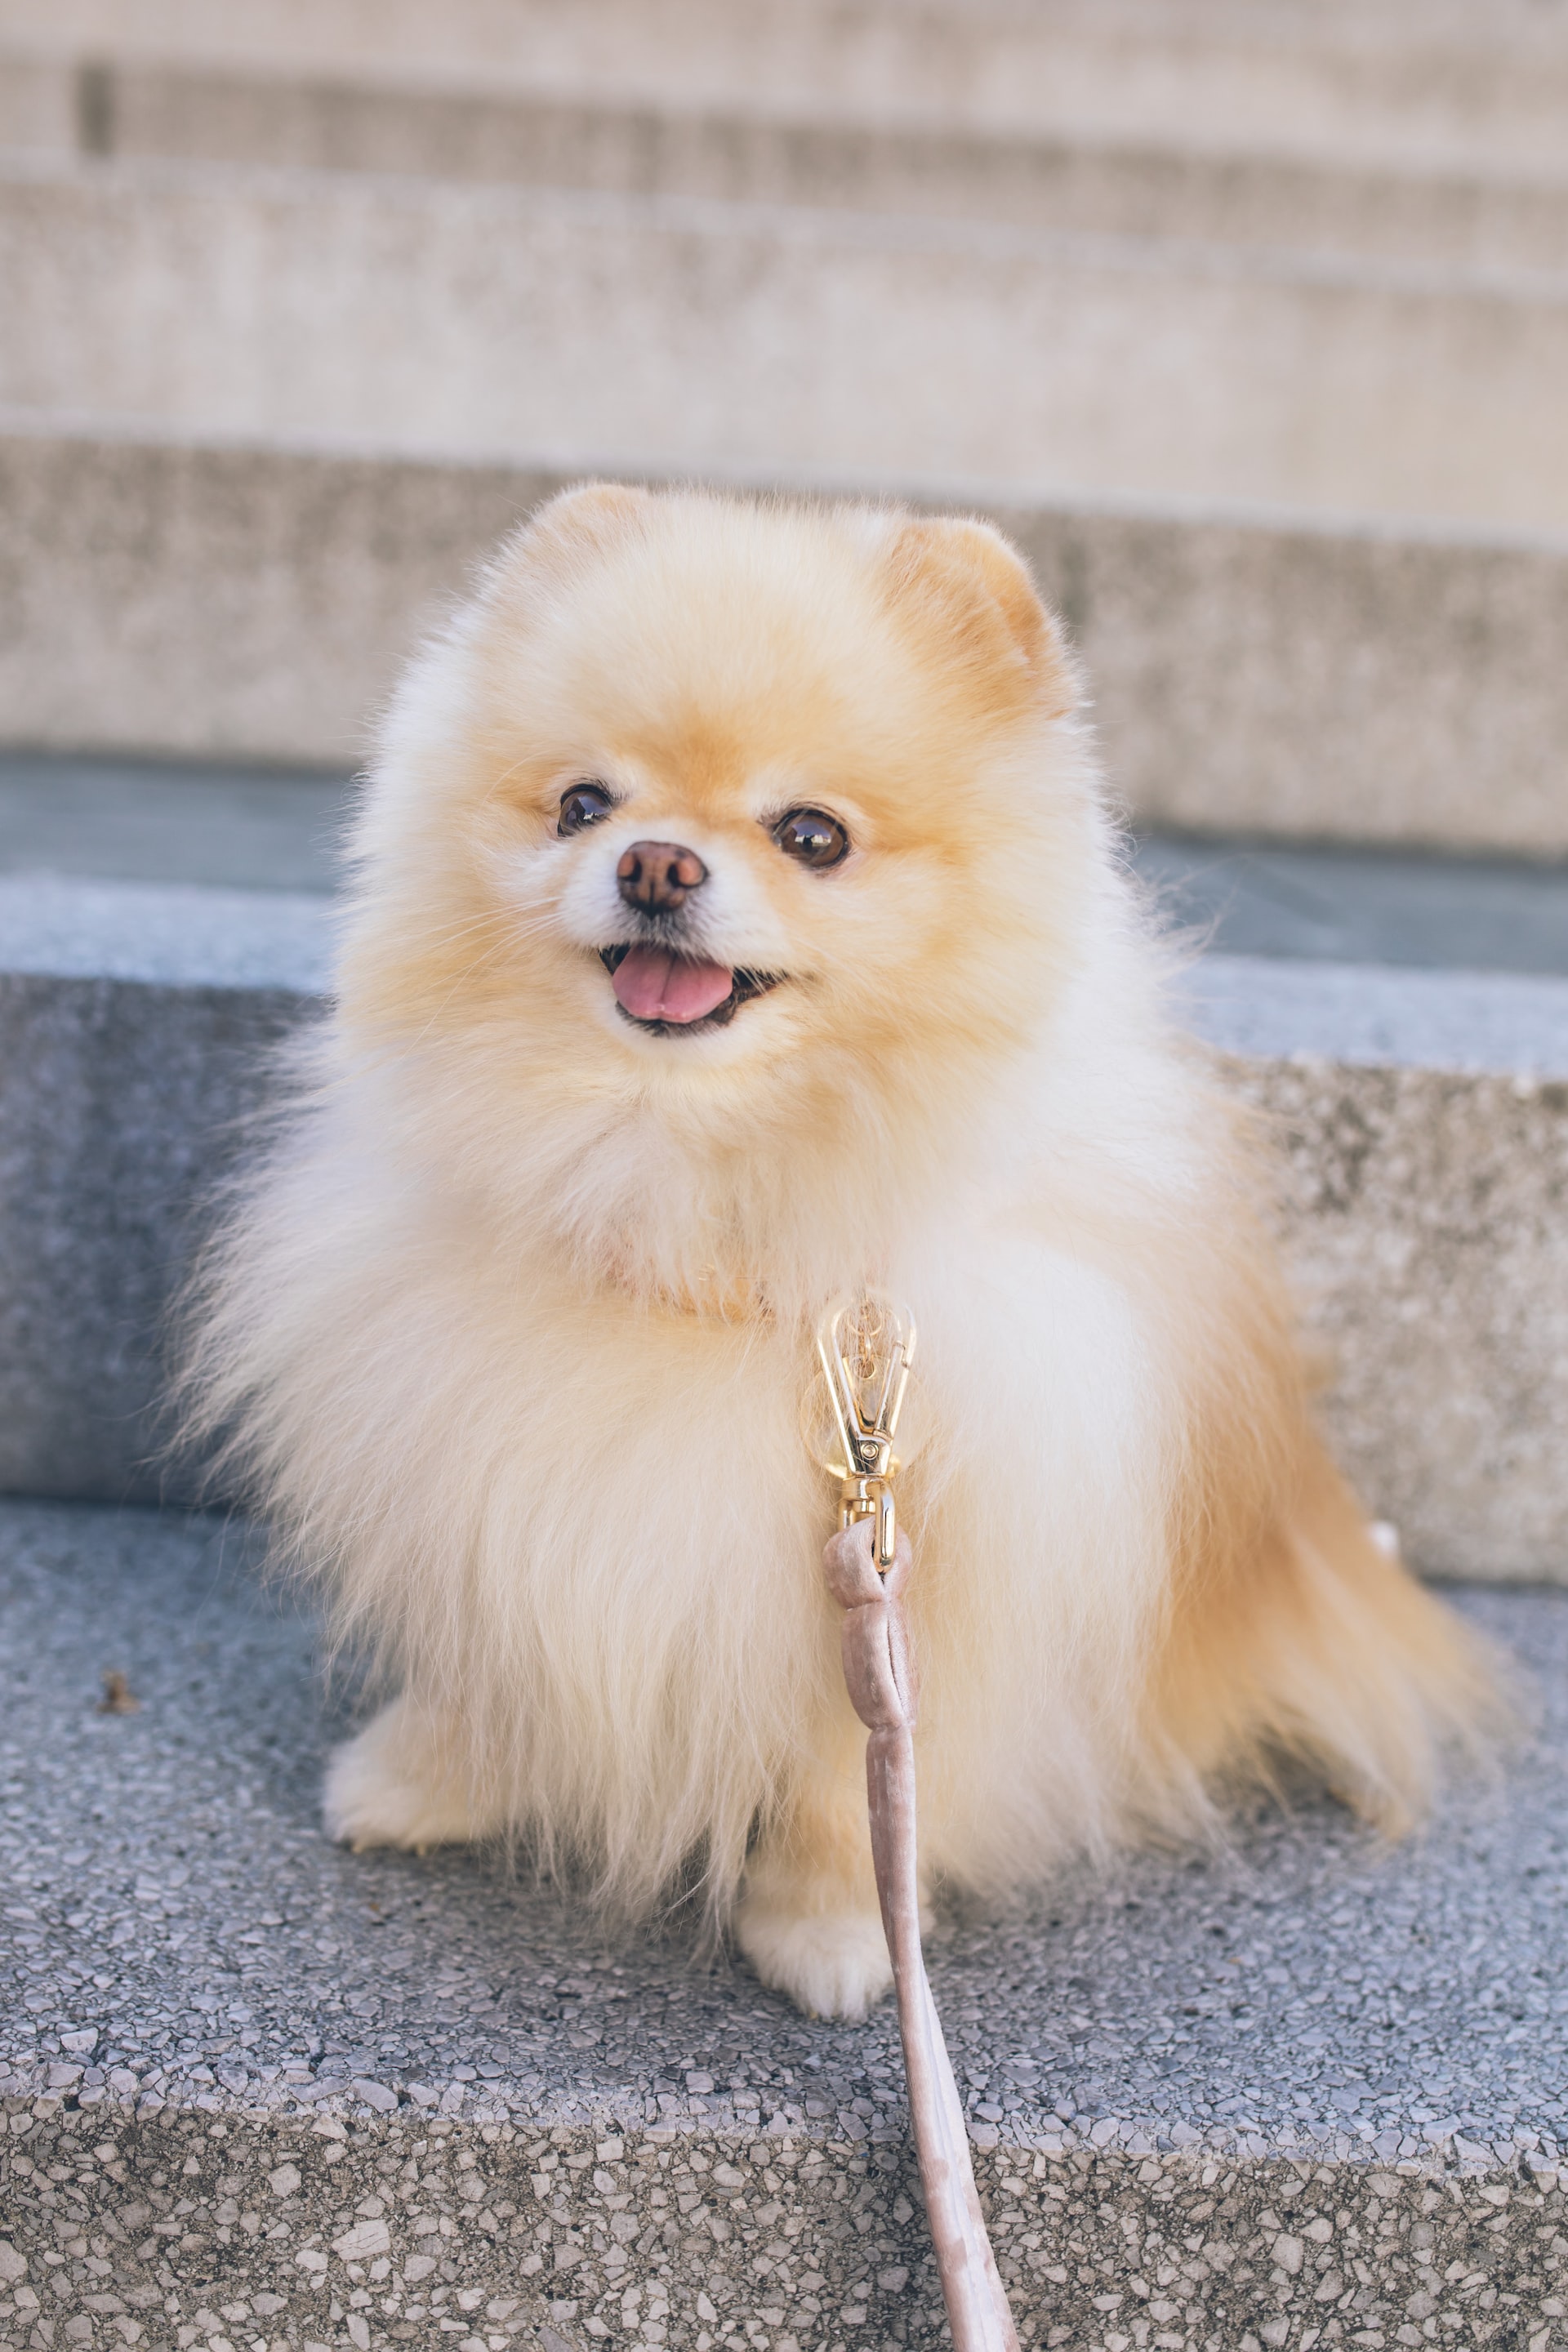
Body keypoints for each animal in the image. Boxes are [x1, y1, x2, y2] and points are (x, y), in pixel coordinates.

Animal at [190, 482, 1494, 2022]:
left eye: (812, 835)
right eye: (582, 804)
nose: (655, 861)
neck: (701, 1207)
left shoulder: (930, 1580)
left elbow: (853, 1781)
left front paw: (833, 1928)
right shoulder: (499, 1477)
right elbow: (503, 1657)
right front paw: (426, 1776)